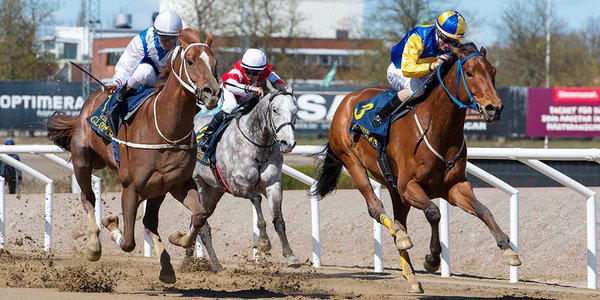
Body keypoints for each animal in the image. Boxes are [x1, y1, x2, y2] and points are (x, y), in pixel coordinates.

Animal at [46, 28, 220, 284]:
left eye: (214, 63)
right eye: (190, 61)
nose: (213, 93)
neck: (167, 129)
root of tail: (90, 100)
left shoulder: (177, 183)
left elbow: (199, 216)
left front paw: (177, 237)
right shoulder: (131, 188)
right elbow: (127, 242)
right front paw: (111, 223)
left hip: (156, 190)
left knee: (150, 222)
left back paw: (166, 268)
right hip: (82, 161)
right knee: (88, 199)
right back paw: (94, 246)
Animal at [192, 88, 300, 270]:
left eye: (295, 111)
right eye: (275, 110)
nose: (288, 143)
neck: (258, 146)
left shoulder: (273, 185)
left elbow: (279, 220)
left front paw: (290, 255)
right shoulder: (238, 186)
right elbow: (257, 201)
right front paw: (264, 241)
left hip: (212, 193)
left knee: (196, 222)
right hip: (197, 186)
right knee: (203, 226)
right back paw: (215, 265)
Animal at [314, 43, 520, 292]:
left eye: (493, 72)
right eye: (469, 73)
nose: (494, 108)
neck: (438, 131)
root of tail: (345, 101)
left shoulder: (455, 187)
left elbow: (484, 210)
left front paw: (508, 249)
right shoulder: (409, 186)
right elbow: (434, 212)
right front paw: (432, 259)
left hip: (394, 188)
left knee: (399, 220)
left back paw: (410, 274)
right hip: (352, 161)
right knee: (376, 208)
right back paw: (400, 236)